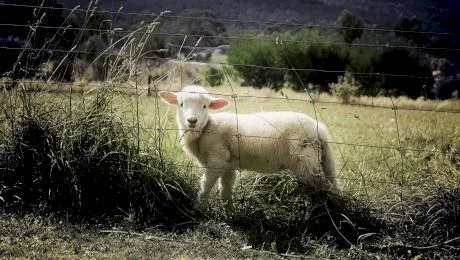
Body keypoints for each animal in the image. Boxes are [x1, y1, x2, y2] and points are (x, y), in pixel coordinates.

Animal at [160, 85, 340, 213]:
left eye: (205, 106)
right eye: (181, 104)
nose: (192, 121)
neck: (205, 129)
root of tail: (319, 130)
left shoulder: (217, 159)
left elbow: (205, 186)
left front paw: (197, 209)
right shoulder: (228, 164)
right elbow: (225, 190)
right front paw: (230, 215)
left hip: (305, 161)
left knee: (324, 187)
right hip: (323, 159)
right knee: (333, 183)